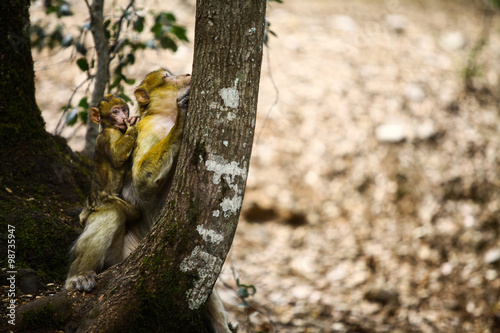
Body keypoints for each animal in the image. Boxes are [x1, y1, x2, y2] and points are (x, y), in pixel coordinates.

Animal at [65, 94, 141, 290]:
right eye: (115, 111)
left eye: (124, 109)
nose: (124, 116)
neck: (109, 127)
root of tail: (93, 201)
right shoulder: (110, 136)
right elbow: (118, 157)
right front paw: (133, 126)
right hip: (104, 202)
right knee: (117, 214)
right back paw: (77, 278)